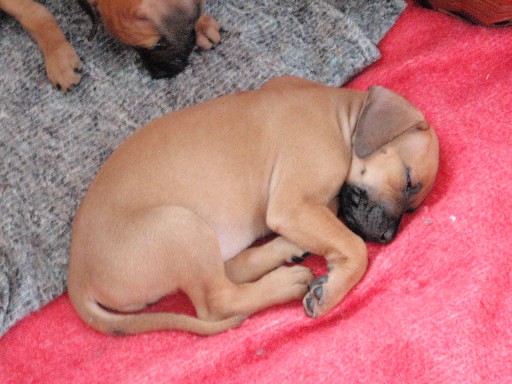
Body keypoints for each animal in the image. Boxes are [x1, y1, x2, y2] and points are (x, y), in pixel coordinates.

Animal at [68, 76, 440, 334]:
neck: (341, 114)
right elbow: (354, 246)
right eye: (408, 180)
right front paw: (332, 290)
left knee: (228, 273)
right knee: (217, 301)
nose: (388, 237)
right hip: (177, 225)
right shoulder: (292, 205)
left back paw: (285, 250)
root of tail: (77, 277)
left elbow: (337, 222)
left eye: (412, 209)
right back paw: (286, 282)